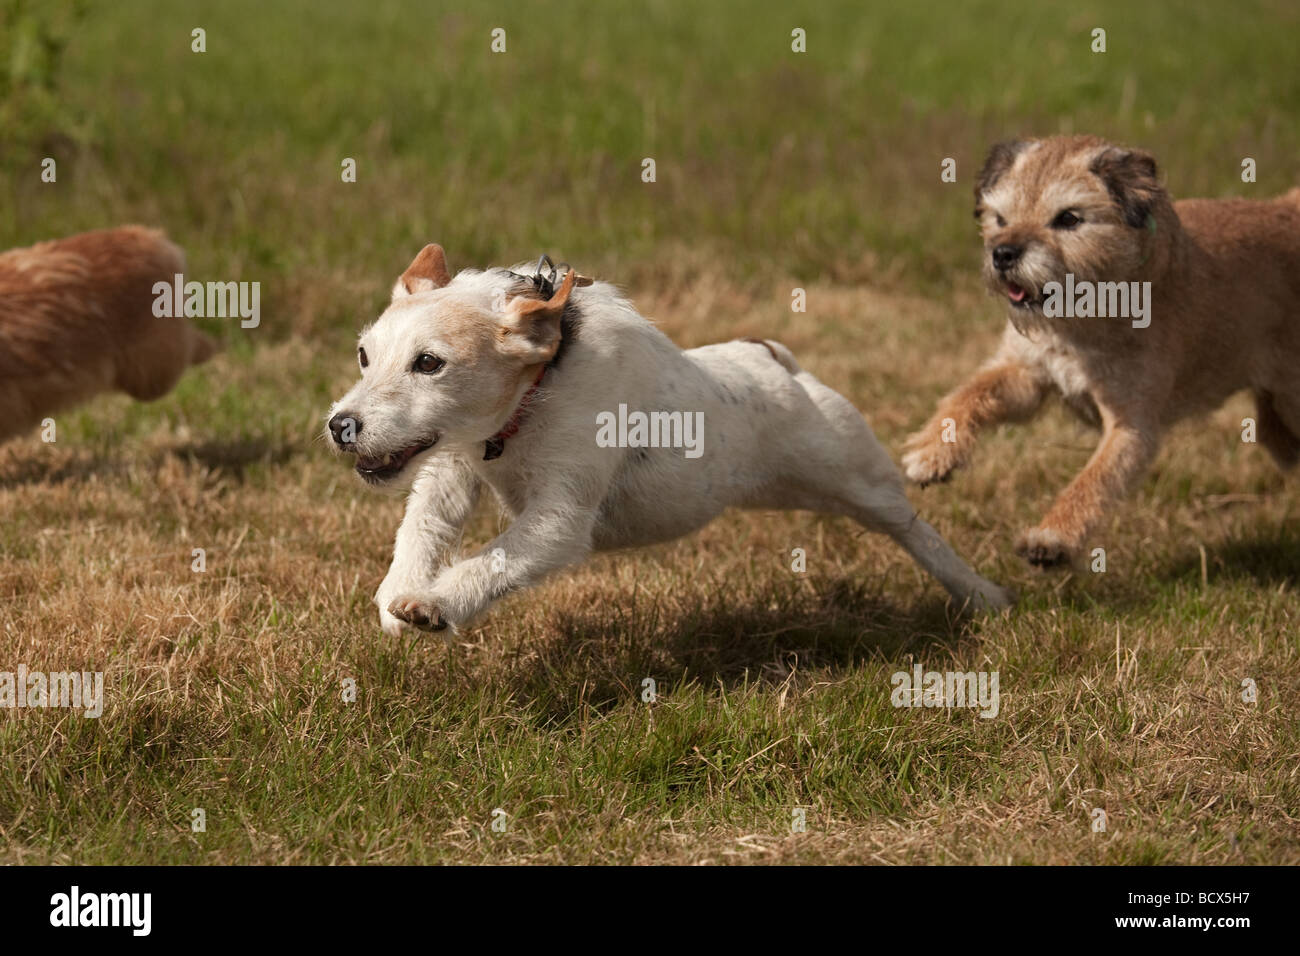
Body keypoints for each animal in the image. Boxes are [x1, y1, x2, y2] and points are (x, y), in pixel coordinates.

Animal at [327, 247, 1013, 634]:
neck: (539, 384)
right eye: (363, 355)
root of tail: (774, 358)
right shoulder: (453, 468)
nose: (341, 425)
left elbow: (493, 559)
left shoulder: (558, 521)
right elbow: (423, 526)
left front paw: (434, 604)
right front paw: (397, 593)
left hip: (858, 481)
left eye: (429, 363)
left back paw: (983, 596)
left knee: (917, 531)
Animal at [904, 136, 1300, 567]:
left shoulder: (1130, 427)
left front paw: (1052, 536)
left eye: (1068, 219)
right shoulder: (1025, 375)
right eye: (1000, 218)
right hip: (1277, 427)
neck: (1082, 321)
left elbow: (1094, 479)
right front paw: (932, 449)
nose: (1003, 253)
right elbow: (971, 393)